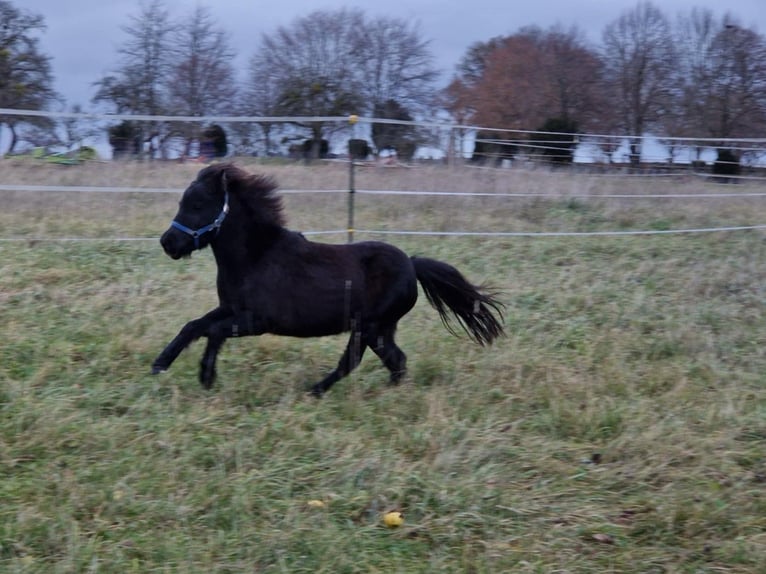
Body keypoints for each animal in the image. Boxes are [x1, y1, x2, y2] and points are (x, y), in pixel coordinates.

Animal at [151, 163, 505, 397]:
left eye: (198, 204)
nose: (168, 243)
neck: (255, 257)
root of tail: (411, 264)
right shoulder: (230, 308)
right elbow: (193, 326)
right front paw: (162, 364)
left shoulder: (257, 321)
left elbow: (212, 331)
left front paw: (205, 375)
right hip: (380, 330)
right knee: (396, 360)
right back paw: (386, 392)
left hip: (369, 326)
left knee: (354, 361)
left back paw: (315, 391)